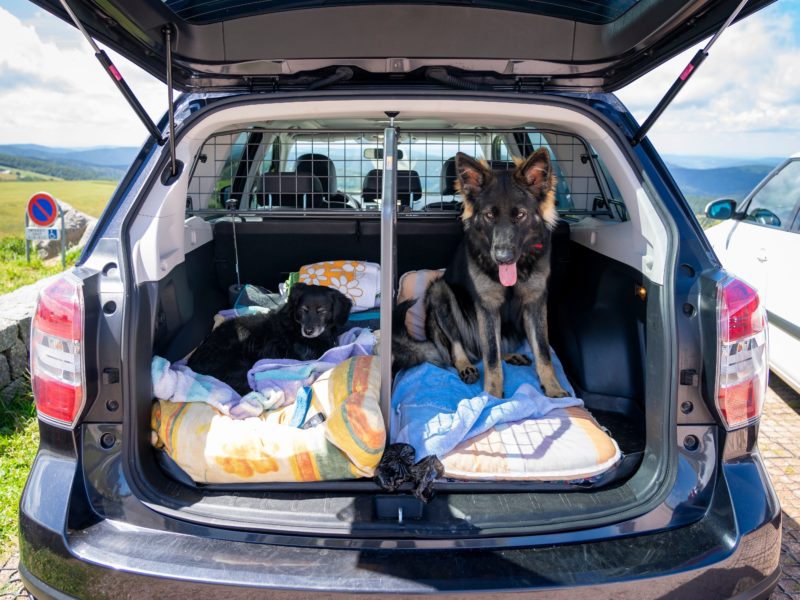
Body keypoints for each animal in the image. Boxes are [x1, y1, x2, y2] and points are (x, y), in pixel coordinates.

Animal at [394, 149, 568, 398]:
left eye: (520, 215)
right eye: (489, 215)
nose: (503, 257)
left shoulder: (535, 303)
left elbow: (542, 351)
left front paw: (553, 388)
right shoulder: (487, 307)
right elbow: (491, 356)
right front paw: (492, 395)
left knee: (488, 349)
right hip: (440, 293)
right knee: (462, 348)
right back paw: (465, 365)